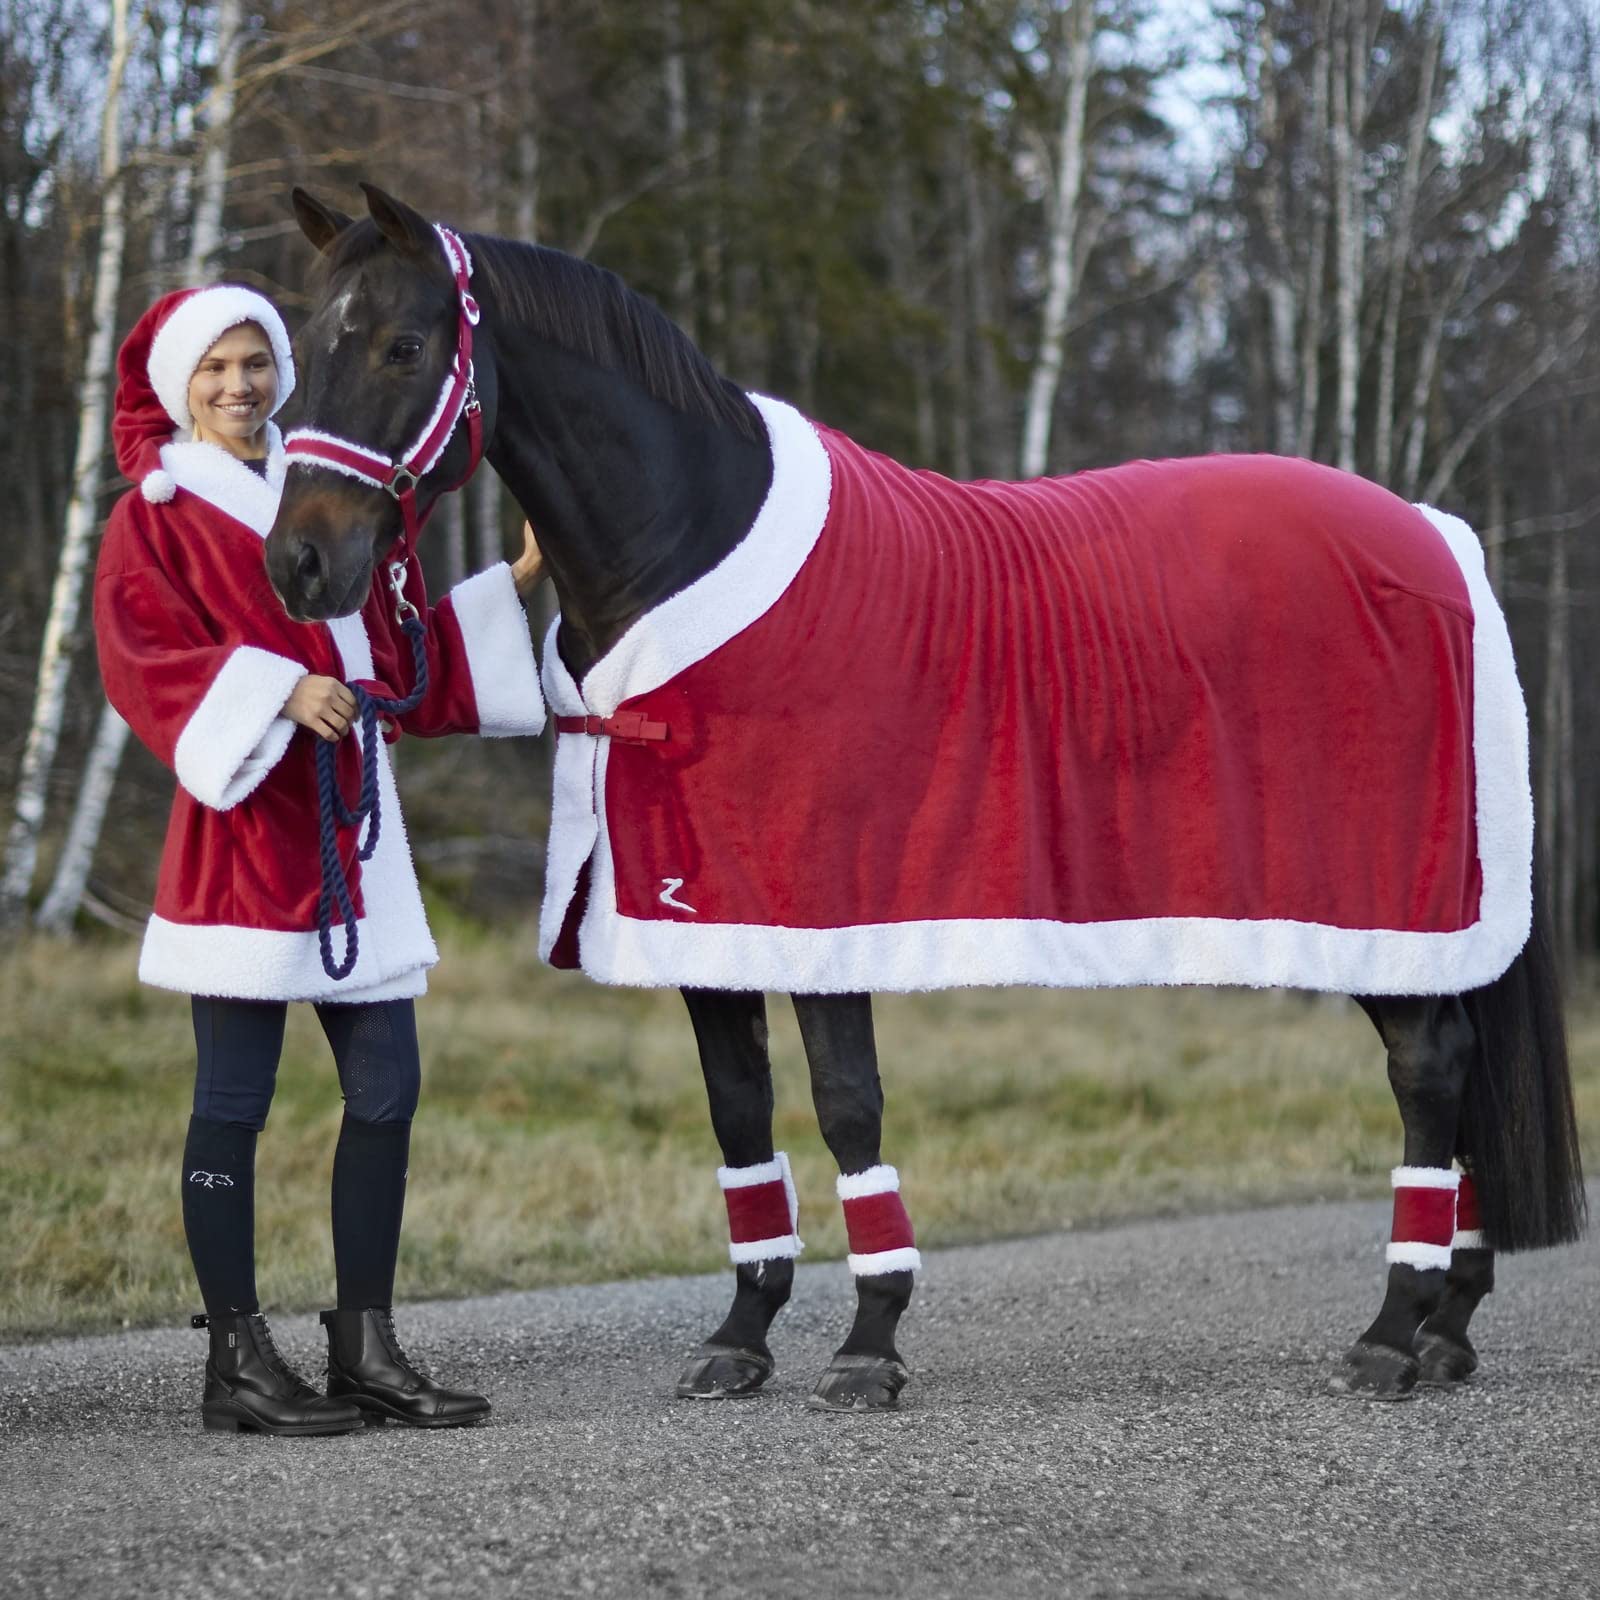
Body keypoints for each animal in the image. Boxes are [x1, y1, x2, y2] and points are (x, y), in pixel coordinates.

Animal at [265, 183, 1585, 1411]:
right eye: (302, 345)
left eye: (403, 345)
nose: (300, 563)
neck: (690, 545)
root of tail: (1436, 536)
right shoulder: (701, 922)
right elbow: (738, 1113)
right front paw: (741, 1338)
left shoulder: (825, 912)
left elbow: (848, 1107)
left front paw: (867, 1344)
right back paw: (1447, 1325)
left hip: (1380, 897)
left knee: (1429, 1069)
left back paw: (1392, 1331)